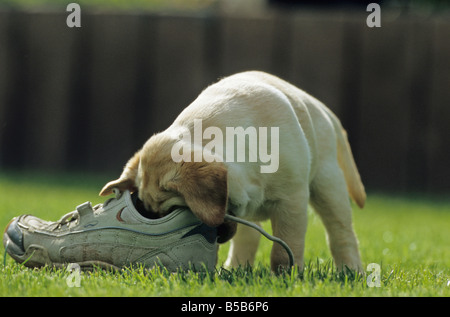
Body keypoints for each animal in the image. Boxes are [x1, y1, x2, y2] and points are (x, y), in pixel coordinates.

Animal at [101, 71, 366, 272]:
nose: (217, 237)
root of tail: (319, 106)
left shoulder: (291, 201)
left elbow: (283, 251)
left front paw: (286, 278)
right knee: (247, 239)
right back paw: (236, 268)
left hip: (328, 186)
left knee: (341, 234)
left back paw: (351, 272)